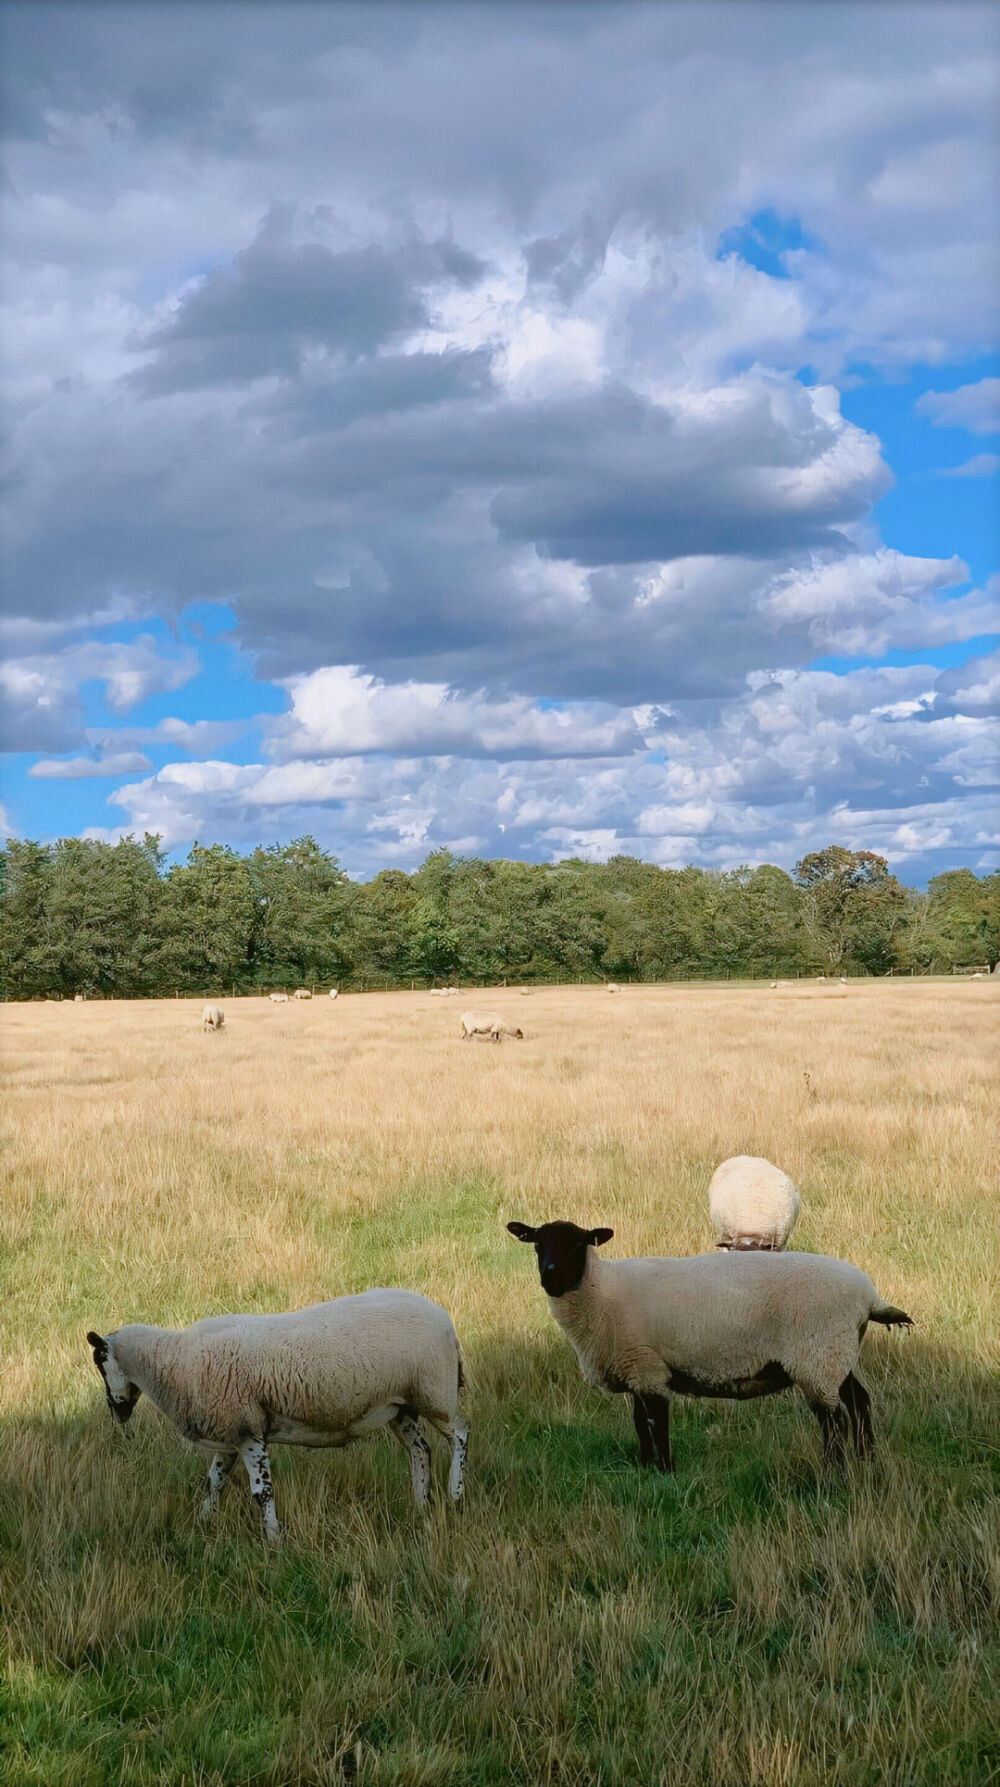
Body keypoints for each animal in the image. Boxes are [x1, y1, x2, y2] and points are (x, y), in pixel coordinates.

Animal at [83, 1293, 467, 1543]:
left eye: (100, 1360)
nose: (116, 1412)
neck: (175, 1362)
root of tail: (446, 1319)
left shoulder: (249, 1432)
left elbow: (261, 1492)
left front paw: (273, 1540)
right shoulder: (231, 1436)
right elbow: (213, 1482)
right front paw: (204, 1522)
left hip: (436, 1392)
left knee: (460, 1434)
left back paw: (455, 1493)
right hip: (400, 1406)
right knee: (420, 1451)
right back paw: (420, 1505)